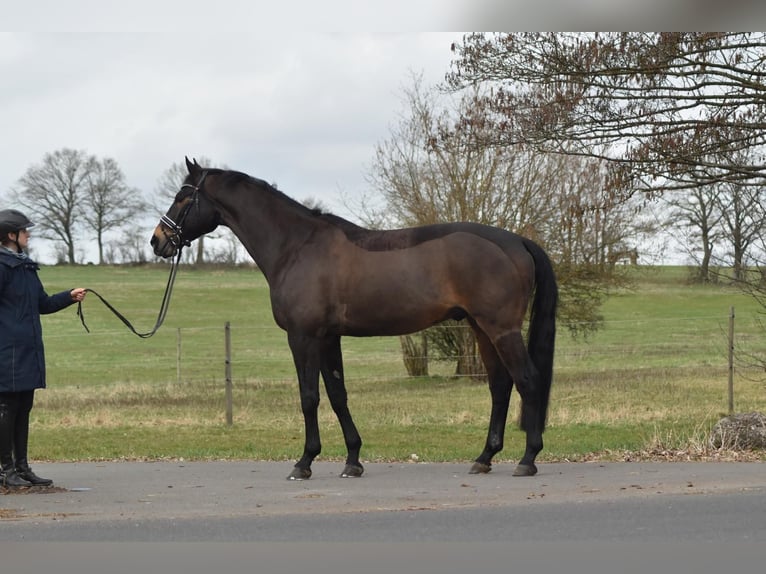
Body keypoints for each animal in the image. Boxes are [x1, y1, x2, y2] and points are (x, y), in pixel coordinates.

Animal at [151, 158, 558, 480]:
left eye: (183, 196)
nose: (158, 240)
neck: (297, 246)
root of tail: (517, 242)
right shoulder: (329, 338)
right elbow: (337, 395)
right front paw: (352, 460)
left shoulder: (303, 336)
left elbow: (309, 396)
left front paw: (304, 462)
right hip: (480, 328)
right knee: (500, 386)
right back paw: (484, 457)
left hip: (502, 329)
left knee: (528, 380)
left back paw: (527, 459)